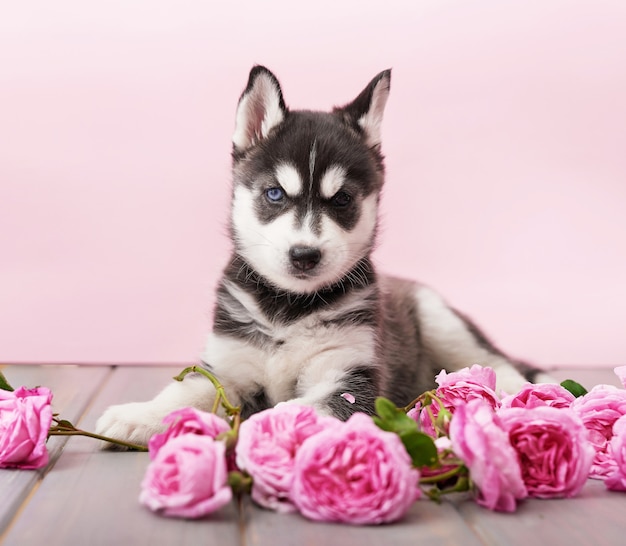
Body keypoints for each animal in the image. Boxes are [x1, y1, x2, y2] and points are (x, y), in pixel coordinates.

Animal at [95, 65, 544, 446]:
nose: (304, 255)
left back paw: (518, 396)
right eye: (275, 193)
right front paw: (139, 415)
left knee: (494, 363)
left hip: (440, 319)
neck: (288, 309)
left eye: (342, 199)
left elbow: (296, 409)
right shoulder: (227, 364)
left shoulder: (350, 381)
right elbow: (185, 391)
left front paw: (259, 428)